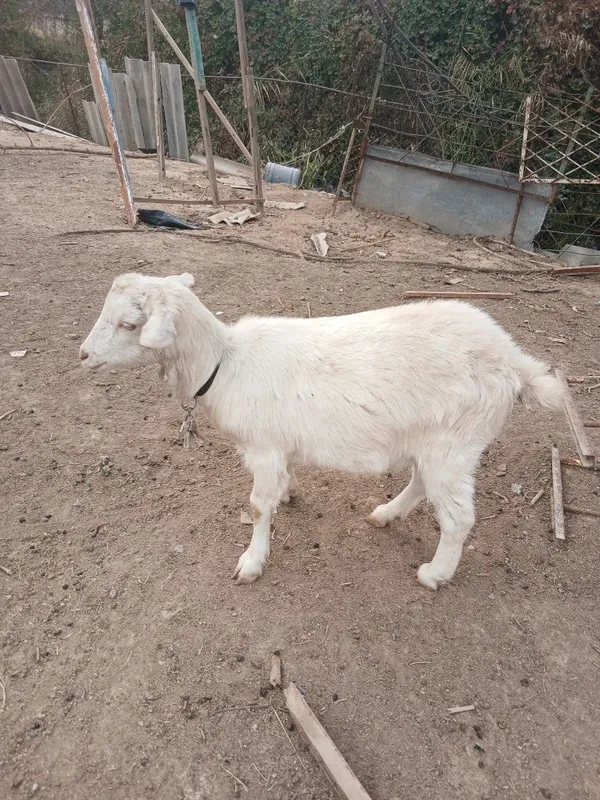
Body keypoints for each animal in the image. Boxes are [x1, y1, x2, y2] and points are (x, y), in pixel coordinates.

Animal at [80, 272, 563, 589]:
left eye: (129, 324)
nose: (83, 356)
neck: (224, 361)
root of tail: (515, 363)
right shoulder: (277, 448)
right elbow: (280, 484)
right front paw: (289, 493)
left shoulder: (263, 447)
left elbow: (257, 506)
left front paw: (252, 562)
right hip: (435, 442)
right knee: (422, 482)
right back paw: (386, 514)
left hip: (456, 442)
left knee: (458, 516)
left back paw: (435, 573)